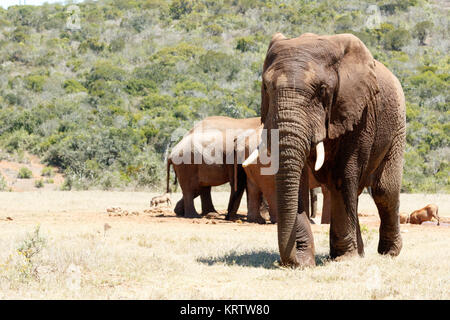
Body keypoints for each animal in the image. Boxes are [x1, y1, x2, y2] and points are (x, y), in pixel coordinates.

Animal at [253, 33, 408, 268]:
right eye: (266, 88)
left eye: (322, 90)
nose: (291, 263)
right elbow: (300, 181)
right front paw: (306, 261)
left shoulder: (359, 113)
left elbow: (343, 176)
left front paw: (344, 259)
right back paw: (359, 253)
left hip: (398, 124)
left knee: (384, 190)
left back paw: (388, 253)